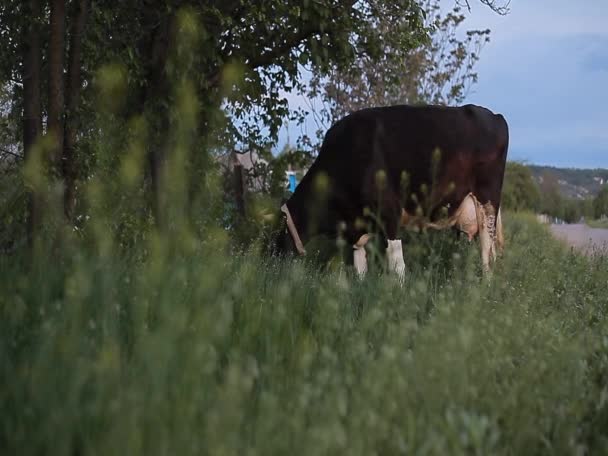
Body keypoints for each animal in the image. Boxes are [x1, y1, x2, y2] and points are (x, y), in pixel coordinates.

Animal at [270, 104, 508, 278]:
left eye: (277, 230)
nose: (270, 260)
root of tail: (494, 115)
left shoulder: (389, 214)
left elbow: (396, 265)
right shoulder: (358, 232)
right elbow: (360, 269)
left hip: (487, 202)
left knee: (487, 252)